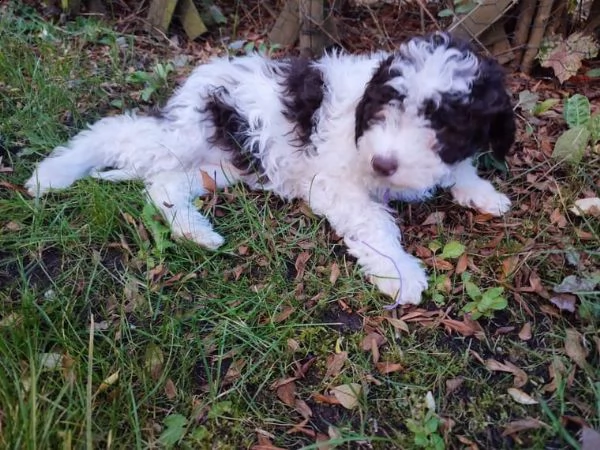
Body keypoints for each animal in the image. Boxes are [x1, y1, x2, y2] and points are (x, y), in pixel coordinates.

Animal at [25, 31, 516, 306]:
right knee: (117, 132)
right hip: (186, 135)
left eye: (443, 124)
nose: (382, 162)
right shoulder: (335, 185)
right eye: (385, 108)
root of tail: (195, 82)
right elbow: (374, 223)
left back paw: (196, 233)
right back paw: (53, 173)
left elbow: (457, 168)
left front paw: (483, 192)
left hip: (223, 167)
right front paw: (400, 272)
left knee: (163, 185)